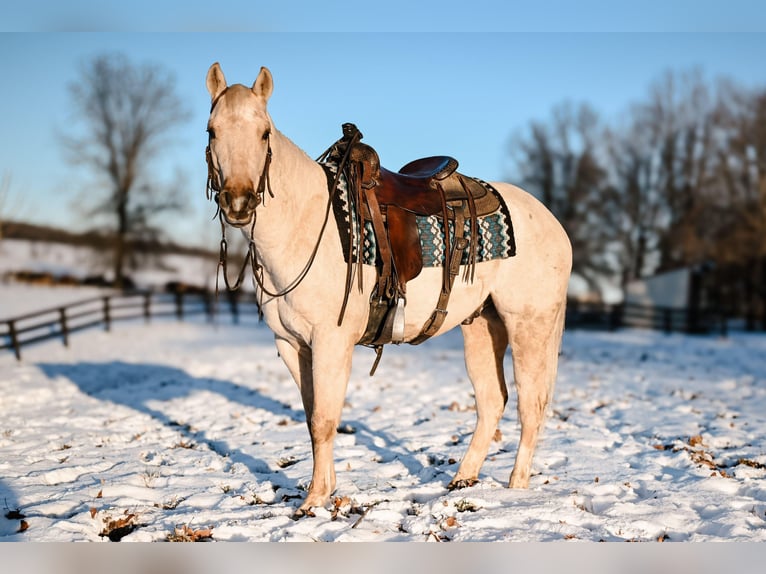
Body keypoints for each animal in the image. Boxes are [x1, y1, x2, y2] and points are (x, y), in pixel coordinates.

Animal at [206, 62, 576, 516]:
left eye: (264, 133)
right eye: (212, 131)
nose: (238, 203)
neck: (305, 224)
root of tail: (551, 221)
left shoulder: (331, 342)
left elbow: (324, 420)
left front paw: (313, 501)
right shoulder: (291, 344)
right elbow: (312, 418)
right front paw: (323, 492)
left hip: (529, 326)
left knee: (531, 404)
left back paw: (516, 487)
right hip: (481, 325)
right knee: (492, 401)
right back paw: (462, 479)